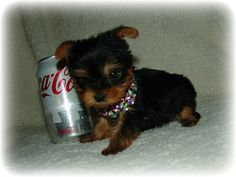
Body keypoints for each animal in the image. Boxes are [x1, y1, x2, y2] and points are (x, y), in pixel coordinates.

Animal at [54, 25, 201, 155]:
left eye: (113, 74)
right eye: (83, 79)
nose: (99, 97)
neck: (121, 98)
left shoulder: (132, 112)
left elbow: (122, 130)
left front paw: (113, 146)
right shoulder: (103, 110)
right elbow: (101, 122)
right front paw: (95, 135)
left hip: (183, 94)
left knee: (188, 108)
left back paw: (189, 119)